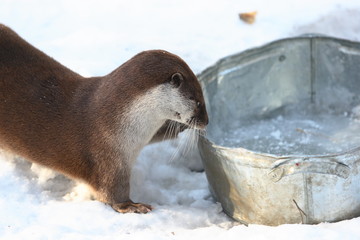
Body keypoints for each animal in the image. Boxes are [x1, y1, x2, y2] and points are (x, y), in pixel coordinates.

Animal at [0, 23, 208, 213]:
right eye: (198, 102)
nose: (206, 122)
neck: (115, 120)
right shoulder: (106, 155)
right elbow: (110, 193)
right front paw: (131, 205)